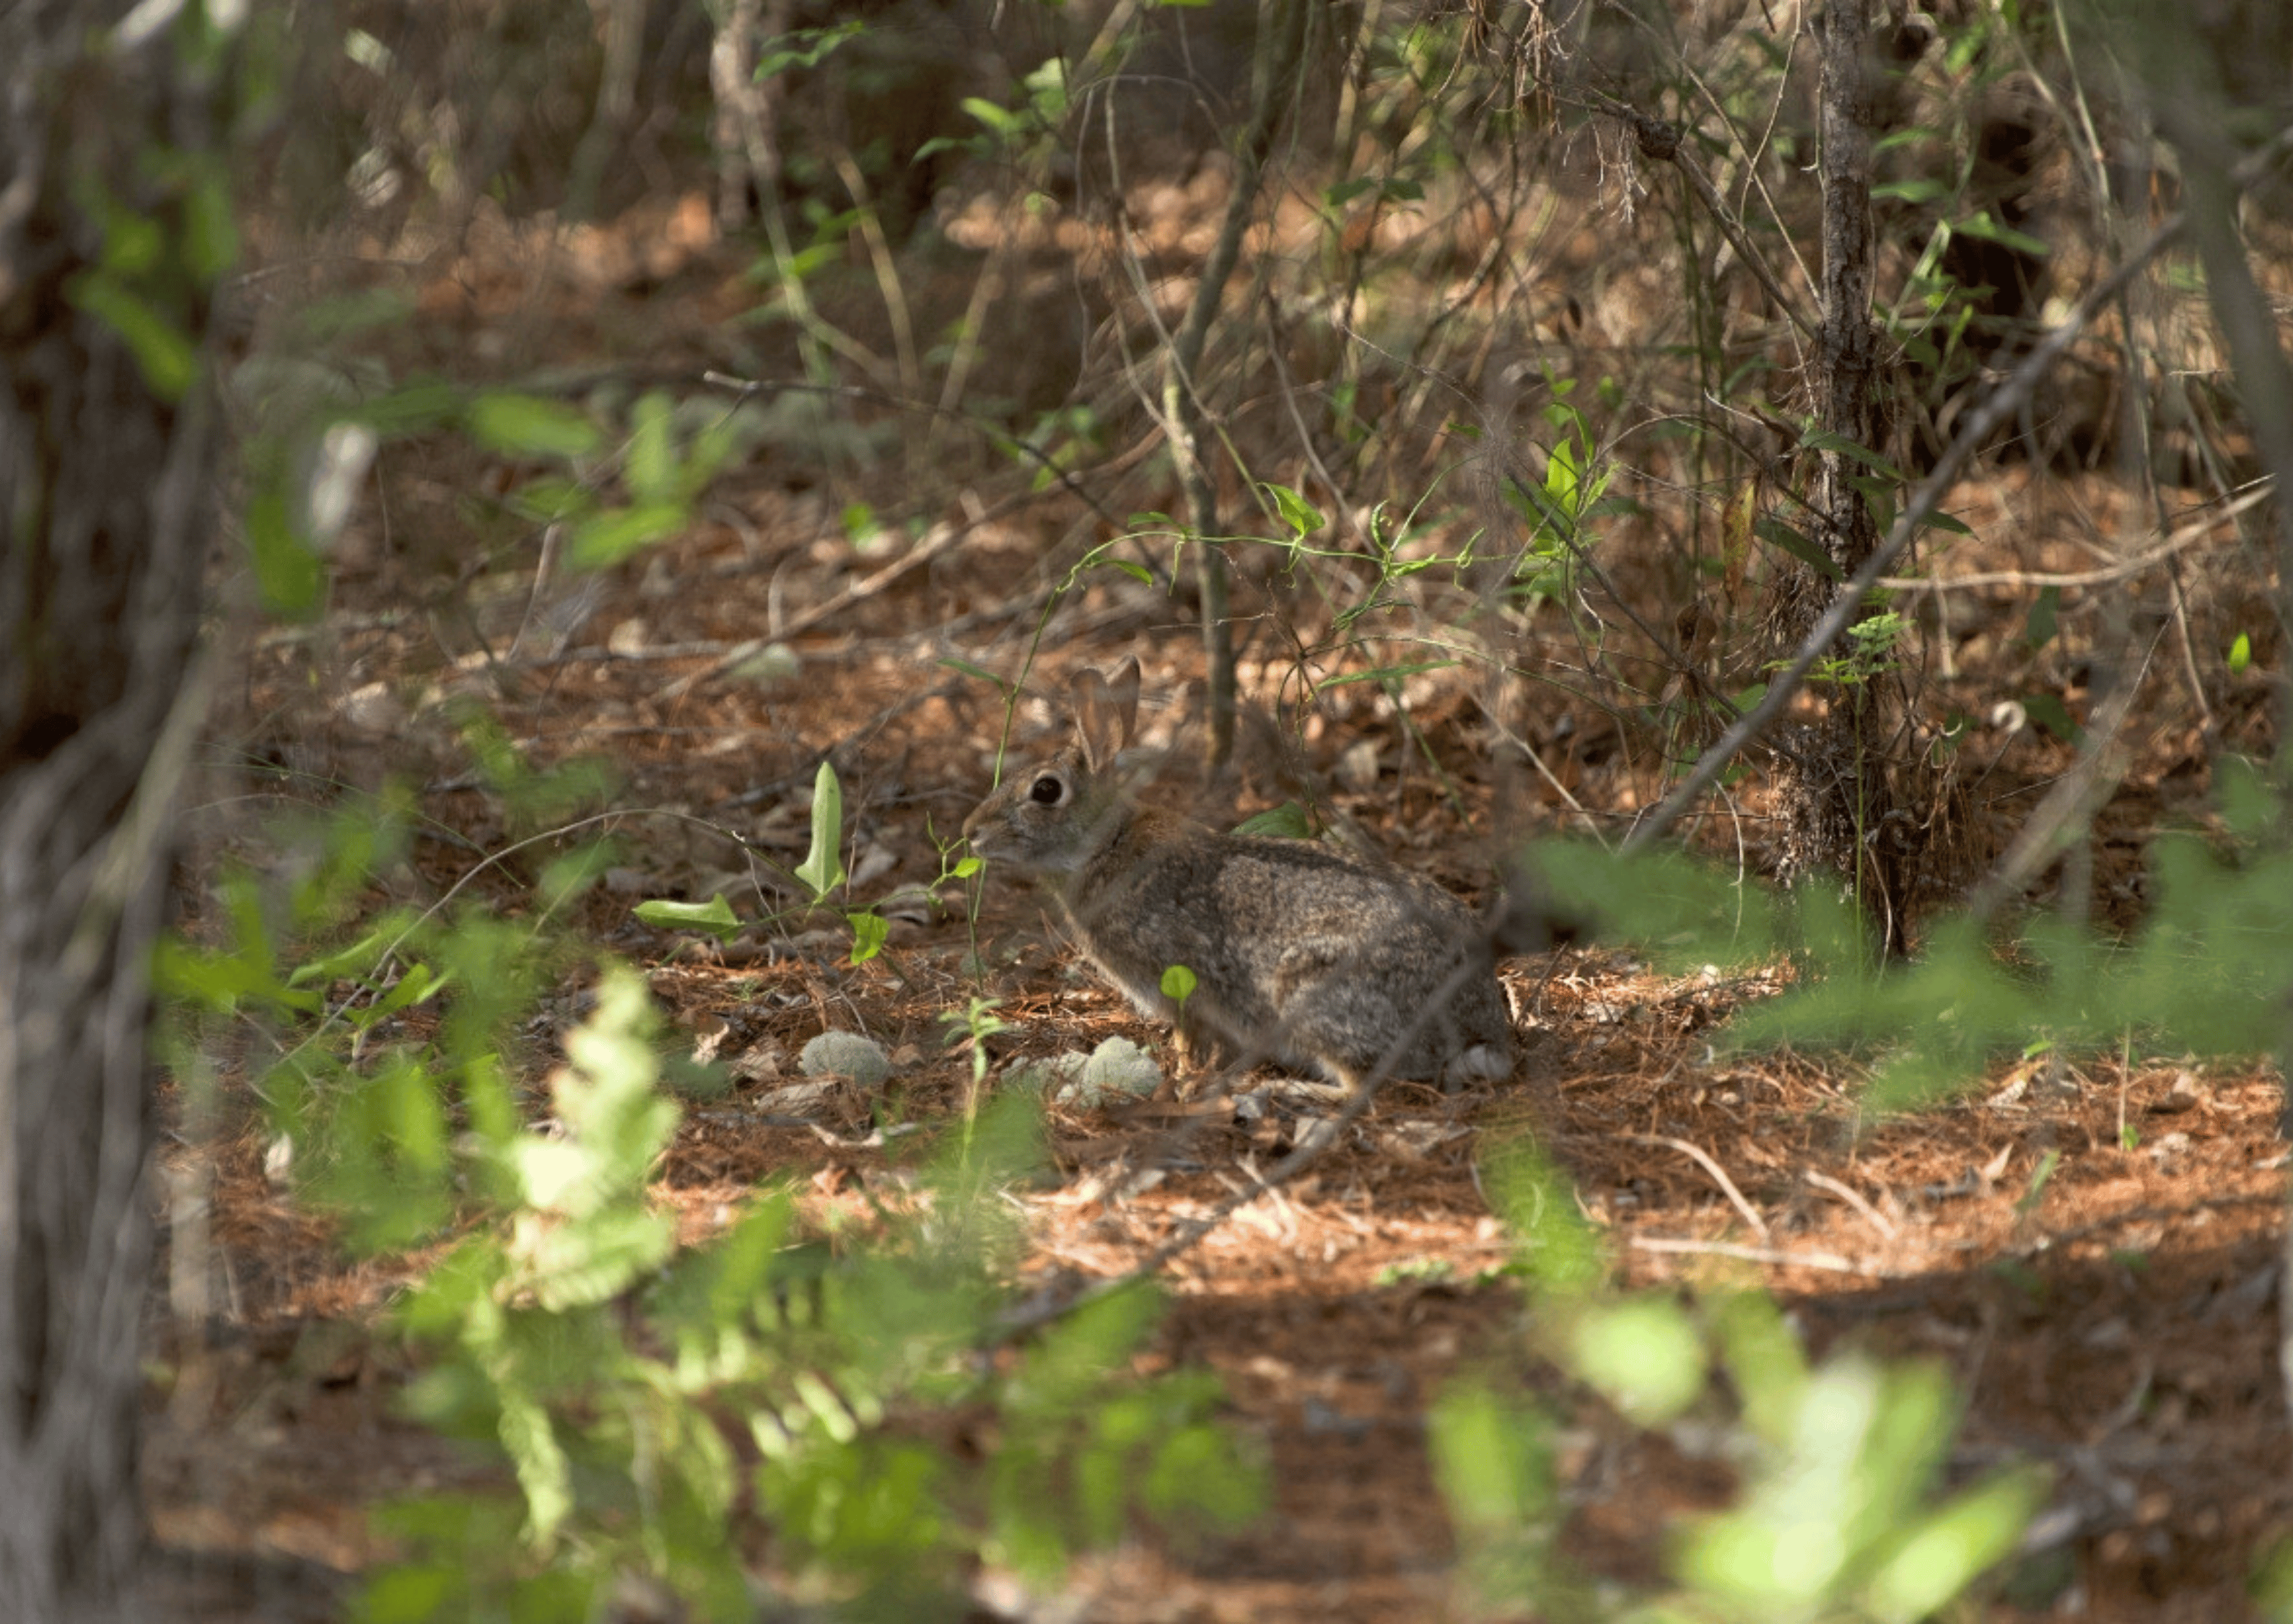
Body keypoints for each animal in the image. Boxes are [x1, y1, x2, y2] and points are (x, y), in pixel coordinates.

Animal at [962, 658, 1514, 1090]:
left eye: (1046, 790)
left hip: (1312, 995)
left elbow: (1188, 1035)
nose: (971, 832)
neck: (1105, 847)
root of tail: (1480, 1024)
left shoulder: (1178, 979)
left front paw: (1185, 1076)